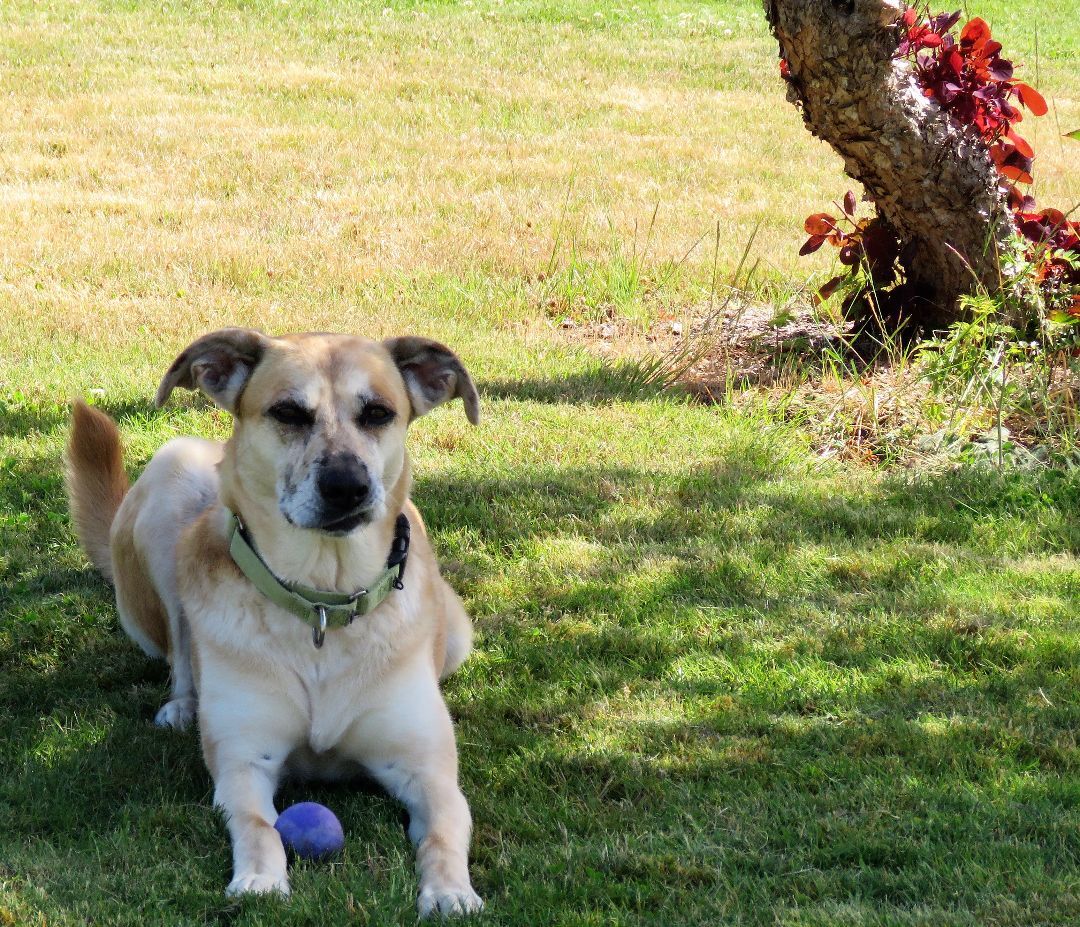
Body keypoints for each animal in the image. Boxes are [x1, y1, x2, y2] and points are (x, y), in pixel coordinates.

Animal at [66, 328, 486, 911]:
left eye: (378, 413)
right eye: (288, 412)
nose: (347, 486)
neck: (323, 601)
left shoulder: (426, 768)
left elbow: (446, 828)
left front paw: (450, 891)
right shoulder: (245, 762)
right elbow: (257, 825)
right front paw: (261, 879)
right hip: (171, 474)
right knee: (179, 650)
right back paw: (182, 705)